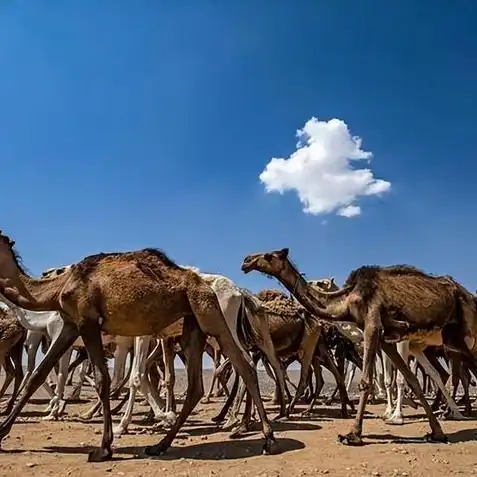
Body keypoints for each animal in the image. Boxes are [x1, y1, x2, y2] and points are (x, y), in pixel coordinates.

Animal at [0, 231, 278, 462]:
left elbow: (103, 378)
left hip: (210, 314)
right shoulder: (70, 324)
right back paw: (161, 444)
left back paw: (266, 438)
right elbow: (37, 375)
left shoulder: (88, 322)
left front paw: (104, 447)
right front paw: (3, 430)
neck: (58, 288)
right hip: (192, 325)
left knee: (244, 365)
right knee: (197, 385)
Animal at [242, 247, 476, 444]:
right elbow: (409, 379)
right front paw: (436, 432)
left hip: (467, 333)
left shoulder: (373, 325)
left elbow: (367, 381)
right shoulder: (385, 338)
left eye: (269, 255)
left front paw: (353, 434)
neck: (348, 300)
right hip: (451, 339)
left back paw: (454, 411)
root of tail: (468, 295)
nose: (246, 261)